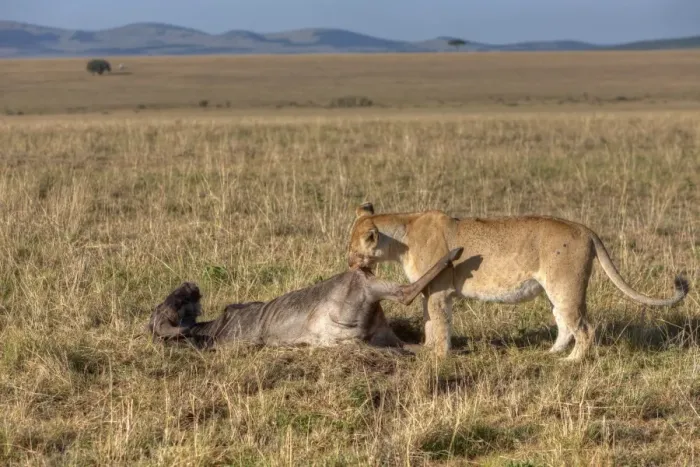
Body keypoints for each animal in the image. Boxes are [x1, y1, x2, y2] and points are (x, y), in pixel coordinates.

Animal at [346, 202, 688, 361]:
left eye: (352, 250)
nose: (348, 263)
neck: (400, 238)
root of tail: (585, 229)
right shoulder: (430, 291)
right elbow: (432, 321)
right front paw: (429, 349)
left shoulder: (439, 290)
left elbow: (439, 323)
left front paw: (437, 354)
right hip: (554, 290)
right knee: (564, 323)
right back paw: (551, 354)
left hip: (566, 286)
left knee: (584, 328)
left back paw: (572, 361)